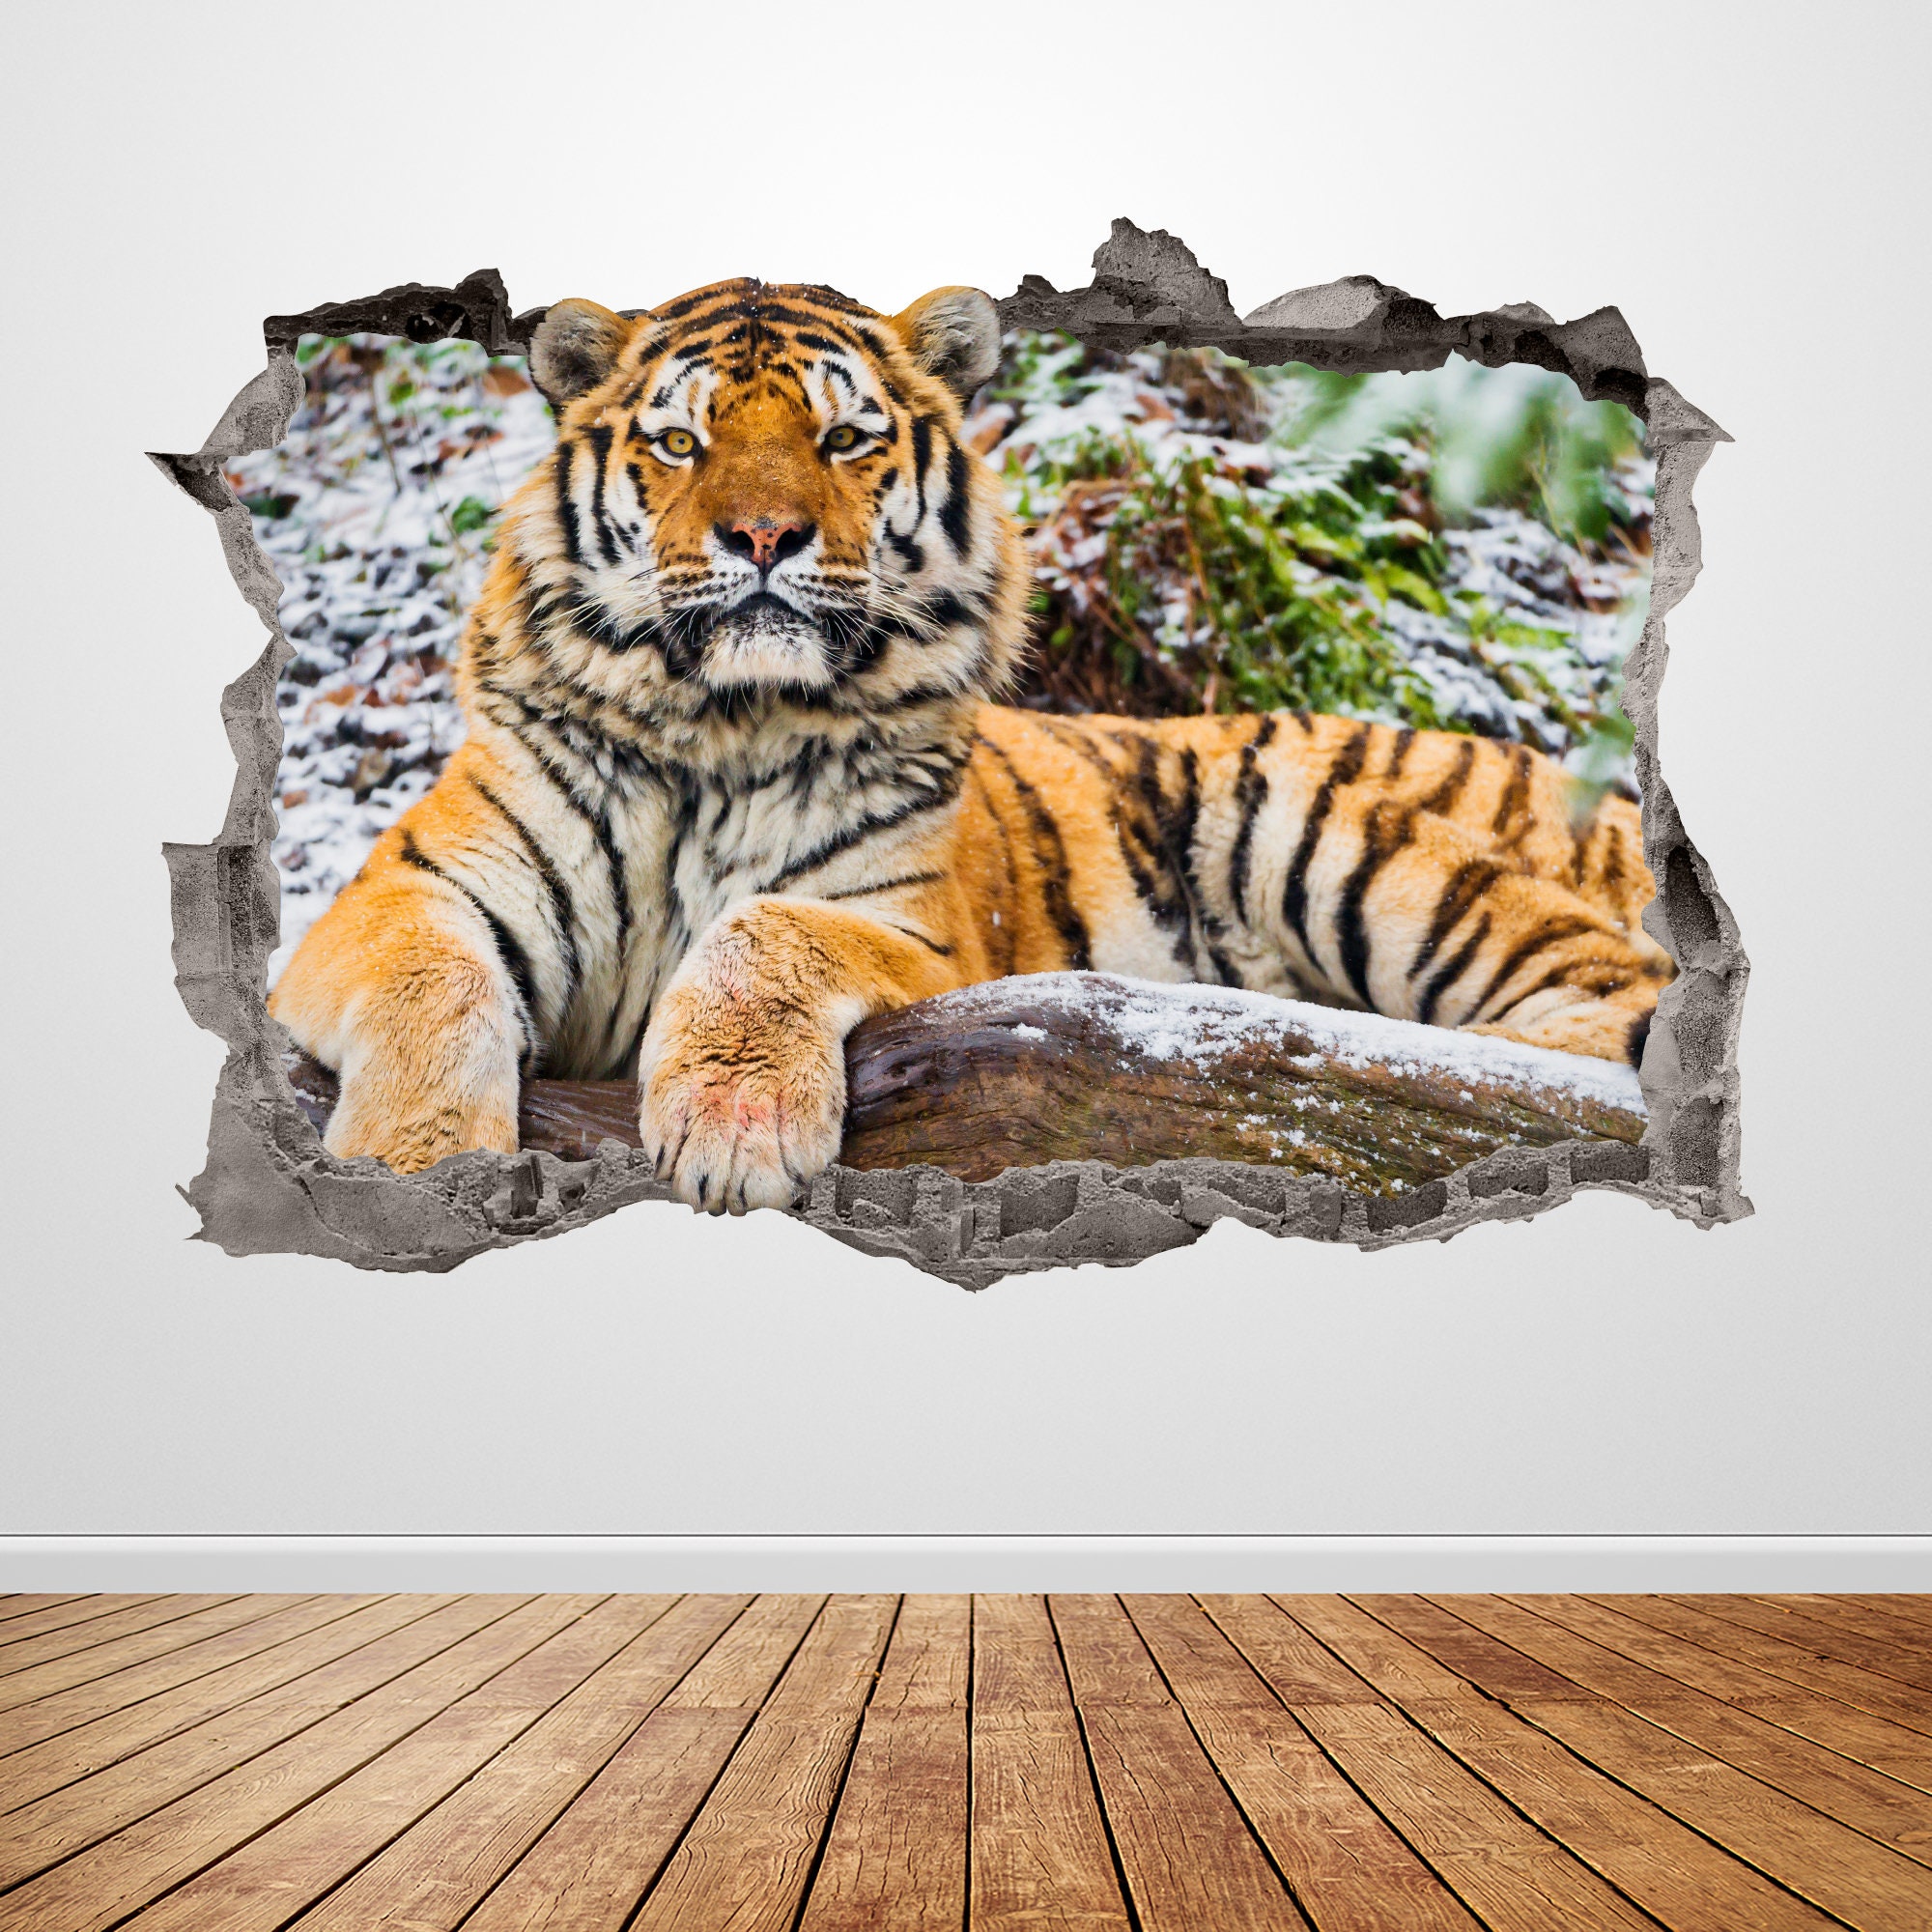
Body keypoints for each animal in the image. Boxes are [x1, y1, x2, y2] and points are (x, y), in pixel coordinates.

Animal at [268, 277, 1671, 1213]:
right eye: (681, 440)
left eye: (843, 438)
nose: (762, 537)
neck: (725, 724)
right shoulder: (404, 890)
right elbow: (432, 984)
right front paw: (413, 1165)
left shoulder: (919, 928)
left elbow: (757, 931)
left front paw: (733, 1126)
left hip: (1328, 831)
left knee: (1589, 1017)